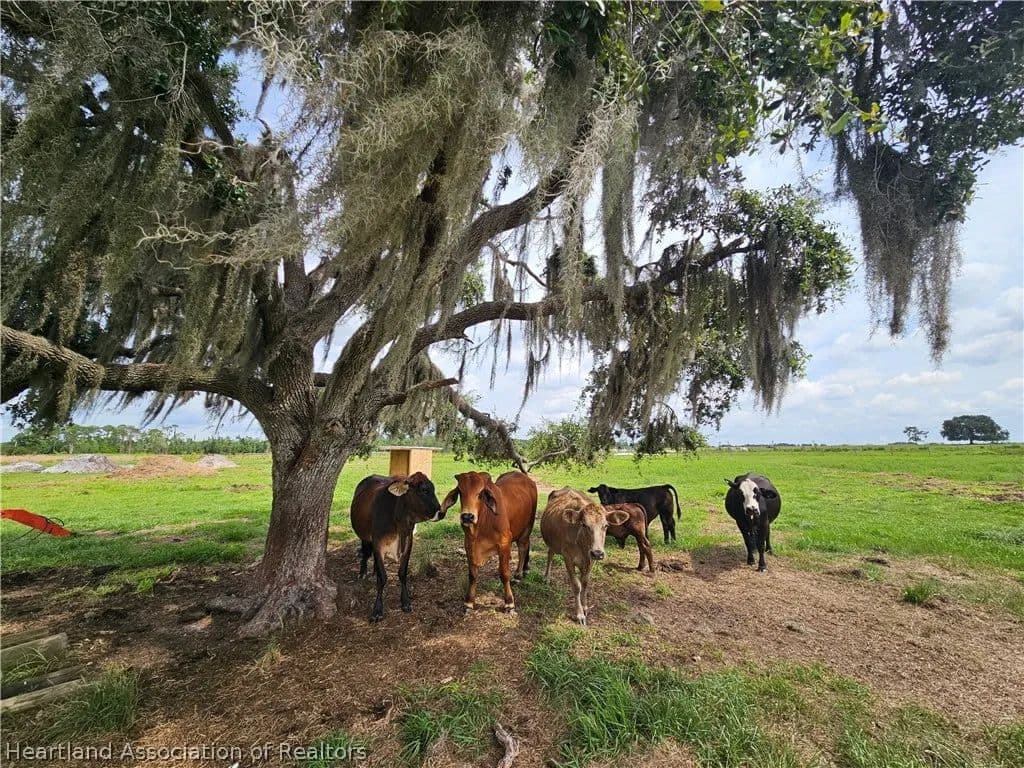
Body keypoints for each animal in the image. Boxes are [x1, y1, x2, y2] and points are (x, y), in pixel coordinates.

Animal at [350, 472, 444, 622]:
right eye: (424, 490)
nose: (441, 513)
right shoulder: (378, 543)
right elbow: (382, 577)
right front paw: (377, 609)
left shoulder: (408, 541)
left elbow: (402, 573)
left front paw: (405, 601)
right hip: (364, 536)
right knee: (365, 553)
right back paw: (363, 572)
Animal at [441, 471, 537, 614]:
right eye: (460, 492)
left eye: (481, 493)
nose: (467, 517)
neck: (483, 523)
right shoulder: (468, 544)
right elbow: (472, 575)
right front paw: (469, 602)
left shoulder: (504, 543)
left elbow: (504, 573)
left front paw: (509, 602)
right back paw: (525, 569)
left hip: (527, 527)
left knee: (523, 547)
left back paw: (518, 574)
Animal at [541, 488, 631, 625]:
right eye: (584, 524)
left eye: (606, 525)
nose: (597, 553)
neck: (581, 545)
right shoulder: (567, 557)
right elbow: (576, 585)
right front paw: (579, 614)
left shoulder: (590, 560)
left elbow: (585, 583)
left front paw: (585, 607)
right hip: (553, 544)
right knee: (550, 554)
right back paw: (547, 577)